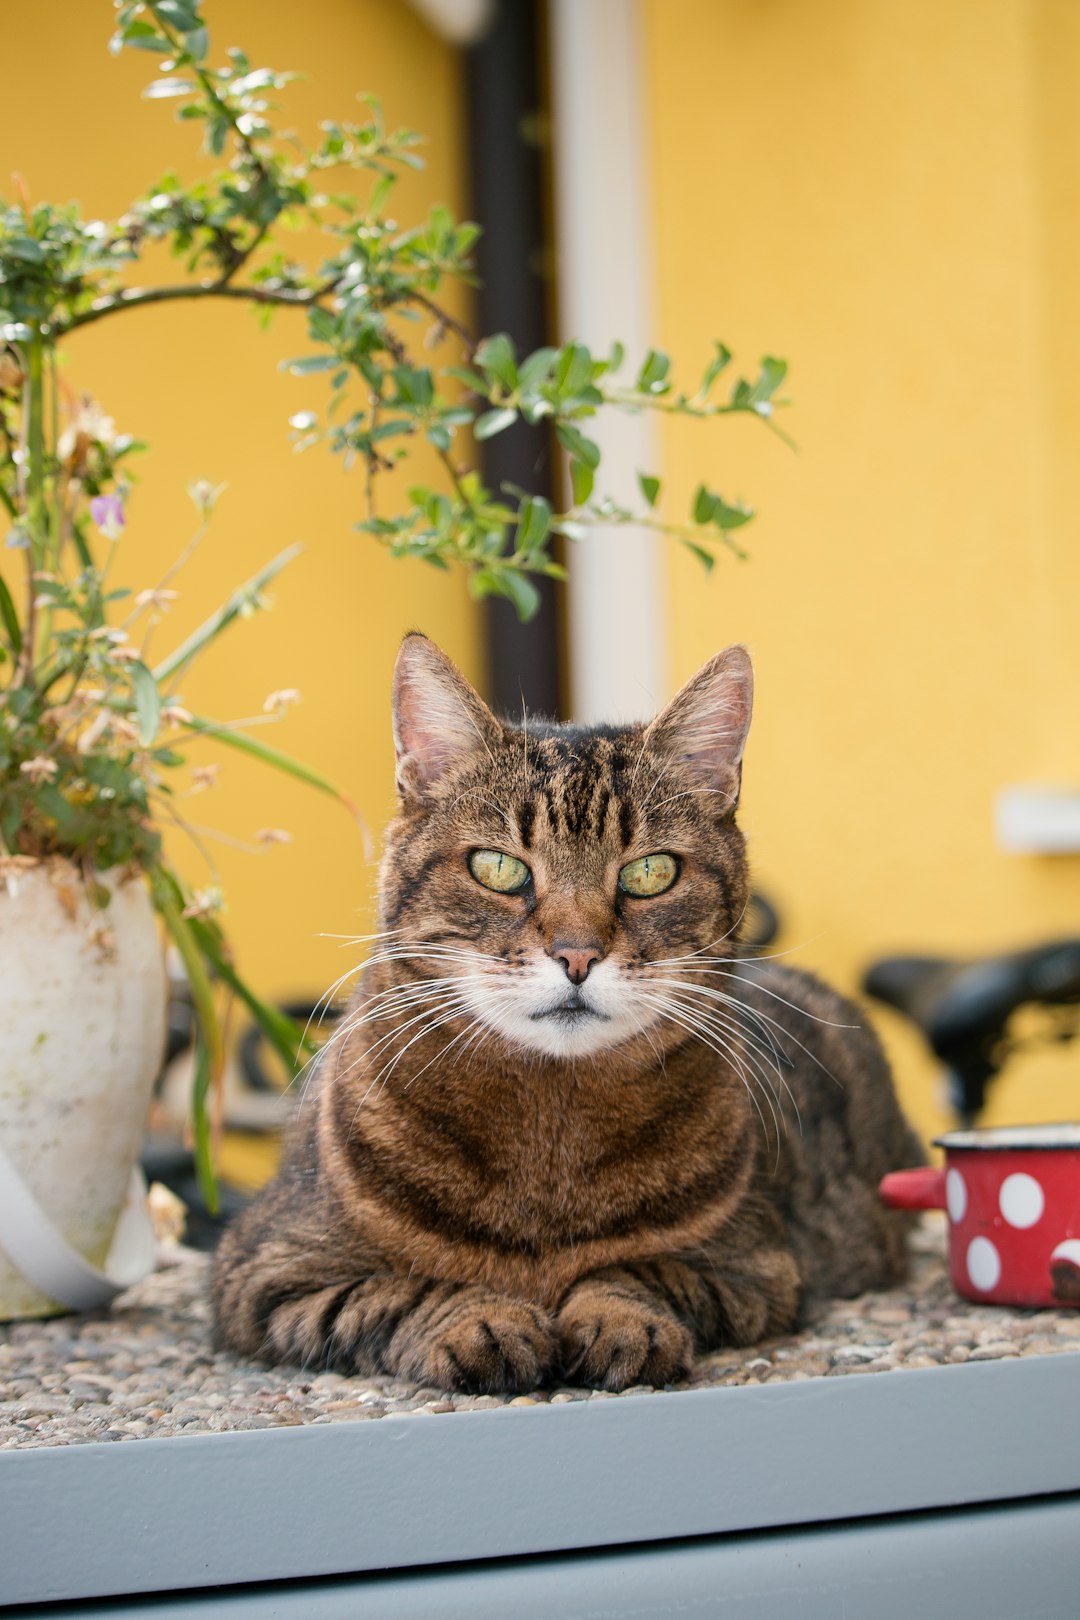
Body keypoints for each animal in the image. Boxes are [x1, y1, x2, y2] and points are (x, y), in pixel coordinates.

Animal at [210, 631, 919, 1393]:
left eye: (650, 873)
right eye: (497, 868)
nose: (577, 956)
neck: (549, 1134)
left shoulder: (761, 1268)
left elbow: (645, 1271)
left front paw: (616, 1318)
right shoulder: (267, 1271)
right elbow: (400, 1288)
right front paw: (481, 1321)